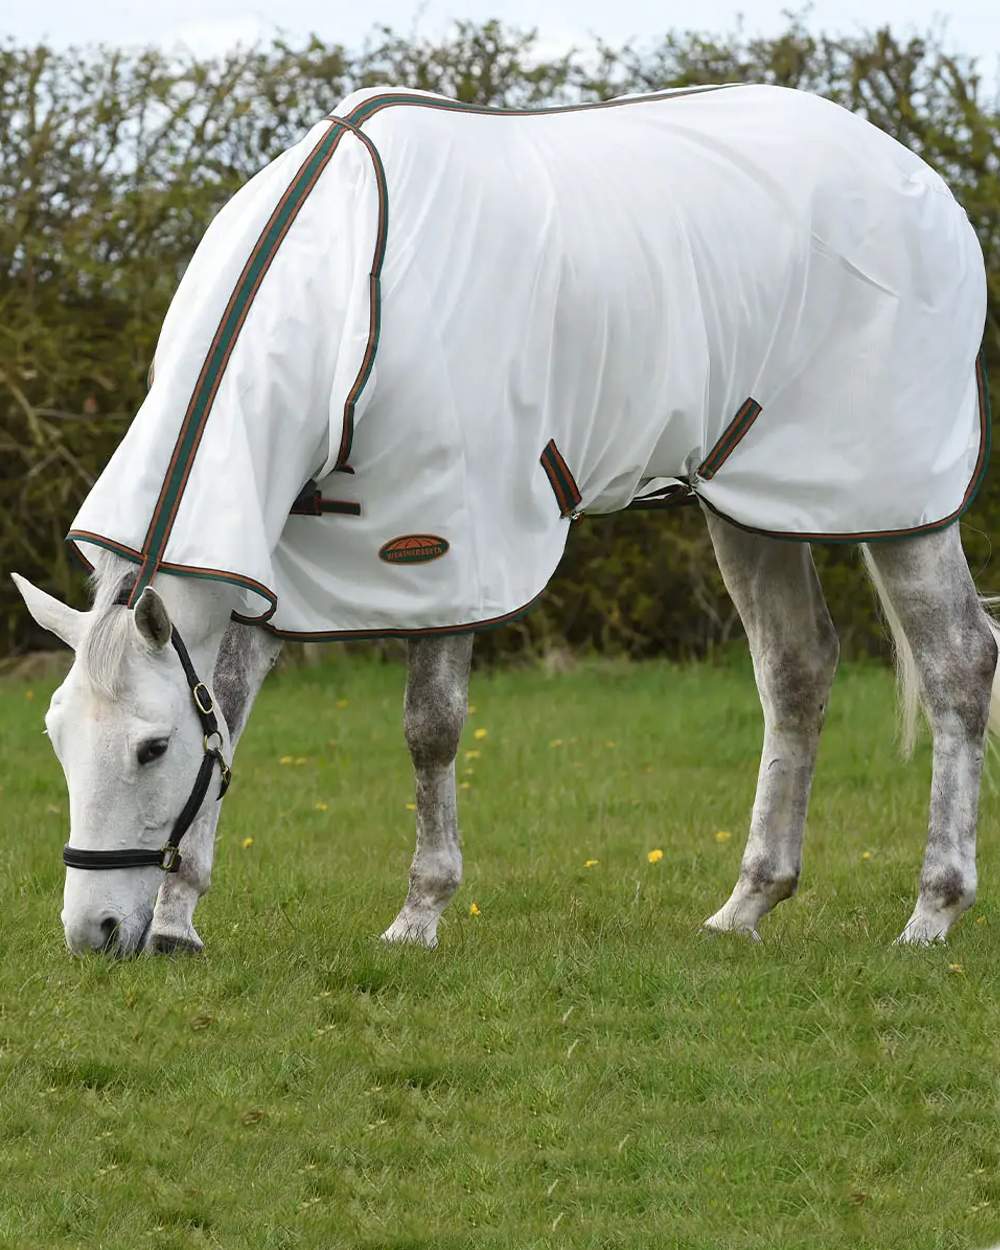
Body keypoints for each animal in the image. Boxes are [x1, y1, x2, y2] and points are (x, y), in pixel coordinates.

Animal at [11, 83, 995, 950]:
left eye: (150, 748)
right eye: (55, 736)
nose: (95, 935)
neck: (349, 285)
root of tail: (916, 178)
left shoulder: (448, 548)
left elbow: (430, 731)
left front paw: (419, 915)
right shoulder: (265, 556)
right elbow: (235, 706)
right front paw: (179, 921)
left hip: (899, 504)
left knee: (958, 663)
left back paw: (932, 912)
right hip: (751, 502)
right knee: (796, 669)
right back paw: (746, 906)